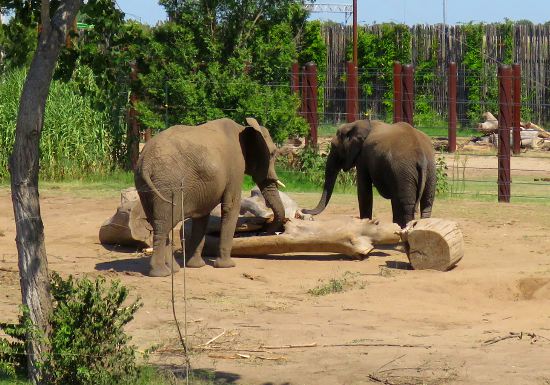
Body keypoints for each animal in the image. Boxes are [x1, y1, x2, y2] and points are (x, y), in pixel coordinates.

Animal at [136, 117, 286, 276]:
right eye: (273, 153)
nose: (266, 230)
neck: (243, 127)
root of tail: (145, 161)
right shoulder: (235, 167)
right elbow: (231, 206)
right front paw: (227, 266)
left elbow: (202, 215)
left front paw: (196, 266)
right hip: (168, 184)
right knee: (164, 224)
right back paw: (161, 273)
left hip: (146, 185)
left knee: (158, 223)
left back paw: (173, 270)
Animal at [302, 119, 436, 228]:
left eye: (333, 146)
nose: (303, 210)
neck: (358, 123)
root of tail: (421, 155)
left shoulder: (362, 157)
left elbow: (364, 191)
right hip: (429, 170)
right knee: (426, 203)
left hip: (403, 172)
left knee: (406, 205)